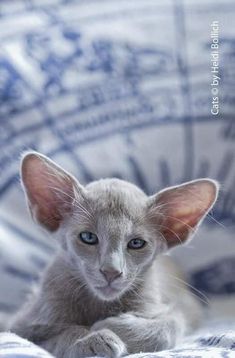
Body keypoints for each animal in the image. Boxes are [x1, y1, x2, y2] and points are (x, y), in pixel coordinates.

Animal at [9, 152, 218, 356]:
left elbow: (170, 325)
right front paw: (92, 339)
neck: (100, 304)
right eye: (88, 237)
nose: (111, 271)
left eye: (136, 243)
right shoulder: (22, 325)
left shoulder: (170, 307)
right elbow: (57, 334)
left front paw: (112, 327)